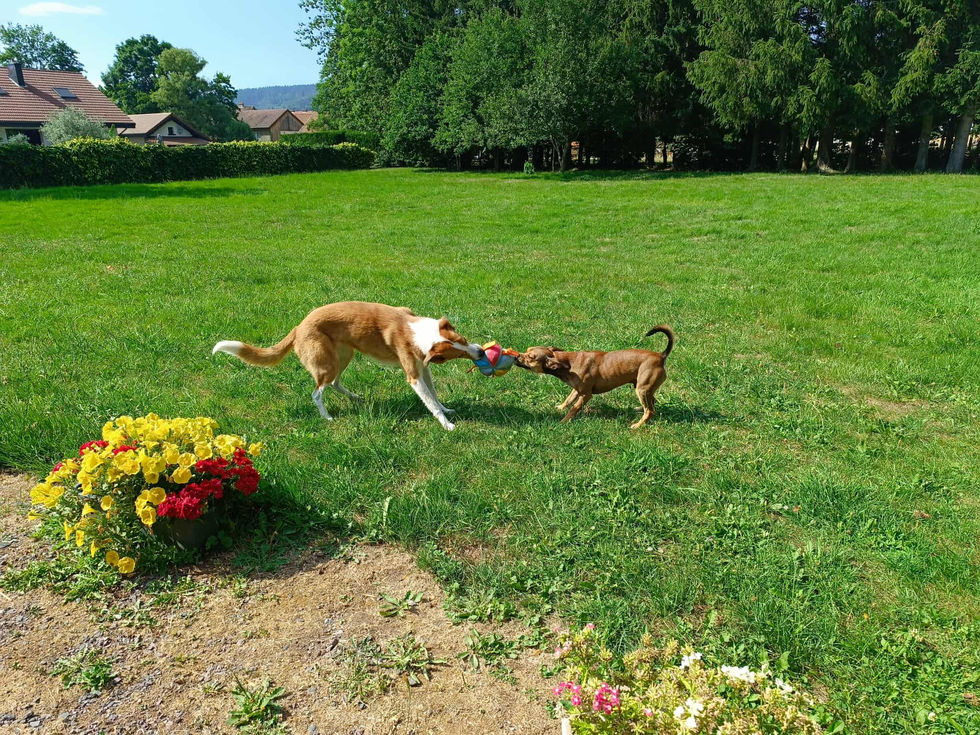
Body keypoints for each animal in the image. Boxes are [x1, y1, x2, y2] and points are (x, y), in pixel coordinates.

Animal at [212, 301, 484, 430]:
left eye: (463, 340)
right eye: (455, 355)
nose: (481, 351)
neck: (414, 331)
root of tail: (298, 327)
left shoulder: (424, 368)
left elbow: (435, 397)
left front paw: (447, 409)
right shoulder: (413, 375)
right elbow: (430, 403)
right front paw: (446, 424)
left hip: (344, 355)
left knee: (334, 383)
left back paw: (356, 397)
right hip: (327, 361)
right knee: (317, 392)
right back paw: (327, 416)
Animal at [516, 326, 674, 428]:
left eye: (531, 357)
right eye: (527, 350)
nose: (516, 356)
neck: (567, 363)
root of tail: (661, 356)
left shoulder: (586, 395)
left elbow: (574, 408)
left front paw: (563, 421)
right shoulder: (576, 389)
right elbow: (569, 399)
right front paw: (561, 407)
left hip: (642, 389)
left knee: (650, 411)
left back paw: (638, 425)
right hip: (644, 388)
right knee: (653, 402)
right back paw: (638, 410)